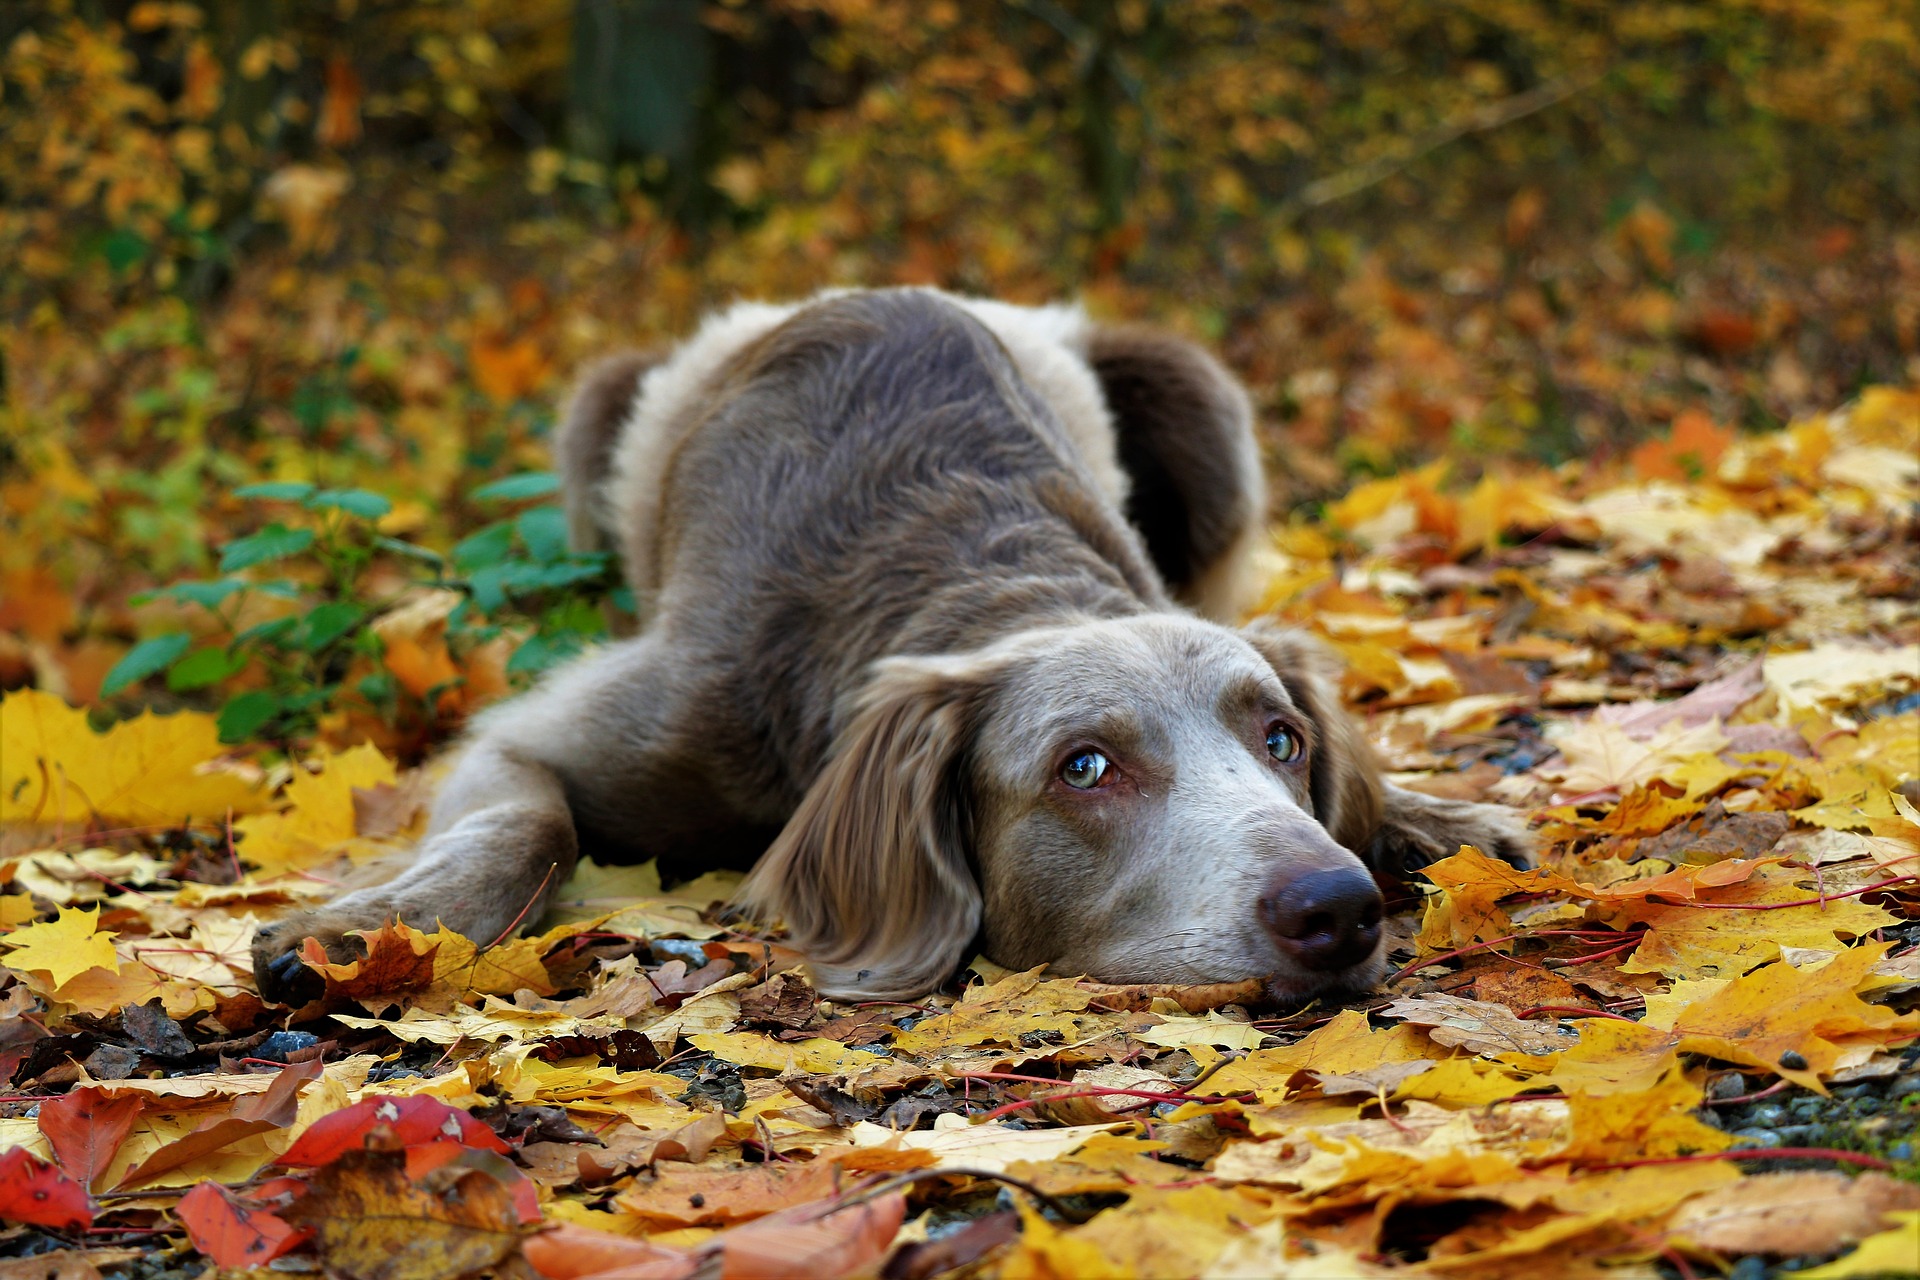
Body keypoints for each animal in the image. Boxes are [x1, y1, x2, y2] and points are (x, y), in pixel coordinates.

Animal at [255, 289, 1536, 1013]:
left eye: (1281, 738)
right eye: (1084, 765)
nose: (1338, 905)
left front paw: (1424, 814)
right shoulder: (576, 721)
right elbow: (529, 822)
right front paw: (358, 933)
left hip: (1199, 399)